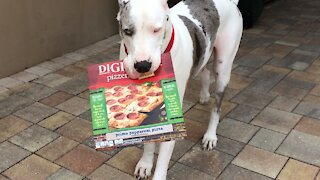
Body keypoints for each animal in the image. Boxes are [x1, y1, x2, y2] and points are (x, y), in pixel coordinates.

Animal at [116, 0, 241, 179]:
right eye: (127, 31)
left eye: (157, 30)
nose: (142, 65)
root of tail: (231, 2)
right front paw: (145, 164)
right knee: (204, 70)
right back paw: (204, 95)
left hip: (223, 69)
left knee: (216, 107)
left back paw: (210, 135)